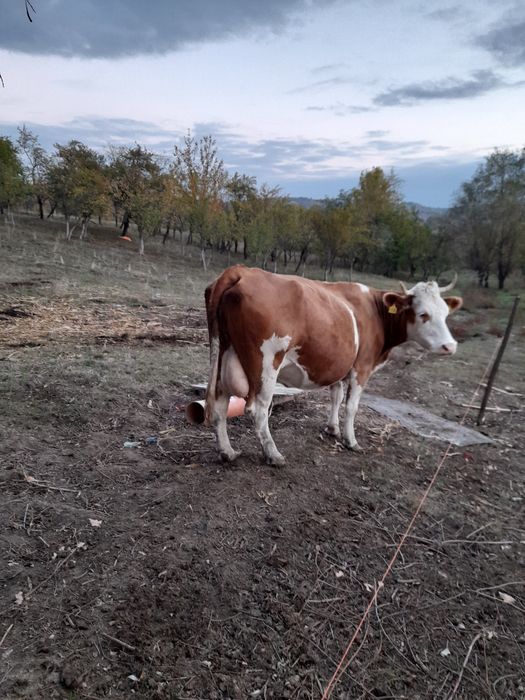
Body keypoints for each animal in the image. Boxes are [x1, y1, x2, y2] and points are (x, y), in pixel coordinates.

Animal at [204, 265, 462, 465]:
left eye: (446, 313)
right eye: (422, 314)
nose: (450, 346)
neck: (375, 311)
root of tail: (241, 271)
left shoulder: (338, 365)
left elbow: (336, 396)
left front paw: (332, 429)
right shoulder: (362, 368)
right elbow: (351, 406)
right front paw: (351, 440)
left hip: (225, 356)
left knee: (220, 404)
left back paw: (227, 452)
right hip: (265, 364)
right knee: (258, 410)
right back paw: (273, 454)